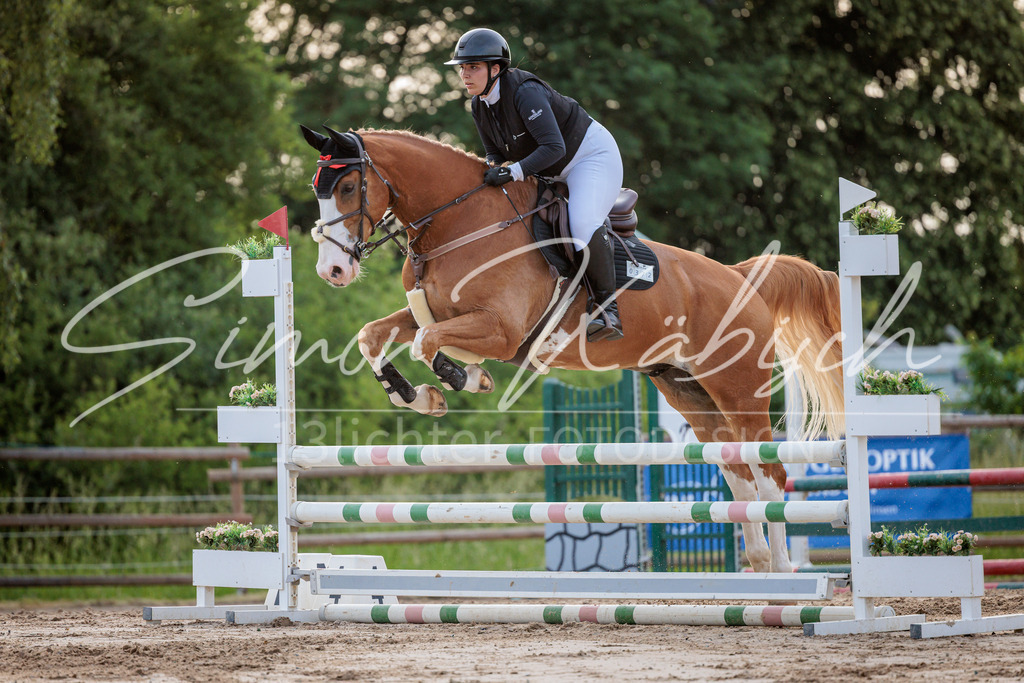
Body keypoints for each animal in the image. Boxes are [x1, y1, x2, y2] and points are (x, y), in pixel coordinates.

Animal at [300, 124, 845, 573]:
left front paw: (463, 379)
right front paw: (417, 396)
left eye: (347, 187)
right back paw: (759, 567)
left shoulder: (500, 330)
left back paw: (783, 572)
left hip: (738, 389)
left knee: (770, 475)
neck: (462, 222)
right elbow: (374, 336)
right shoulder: (431, 312)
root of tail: (738, 276)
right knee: (739, 476)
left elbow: (424, 342)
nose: (333, 271)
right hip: (689, 391)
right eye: (317, 188)